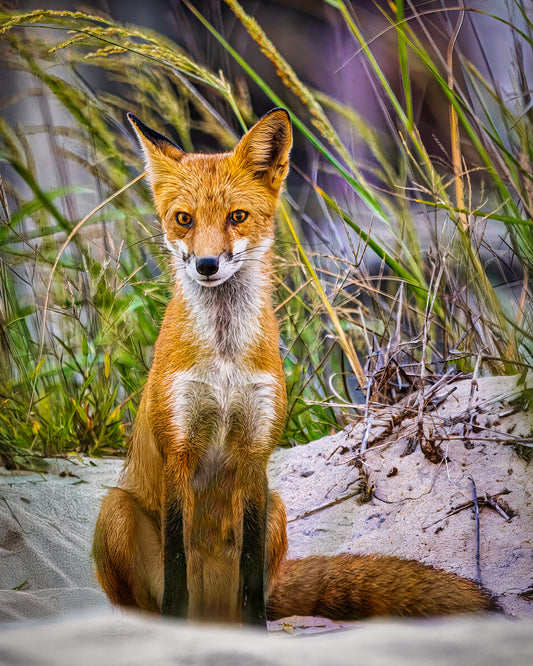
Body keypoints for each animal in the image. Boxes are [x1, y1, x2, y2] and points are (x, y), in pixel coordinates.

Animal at [92, 108, 494, 625]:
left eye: (237, 217)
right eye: (184, 219)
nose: (206, 264)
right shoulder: (178, 450)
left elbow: (249, 571)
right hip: (116, 510)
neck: (224, 359)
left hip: (277, 507)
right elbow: (176, 566)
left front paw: (256, 633)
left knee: (259, 589)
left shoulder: (254, 452)